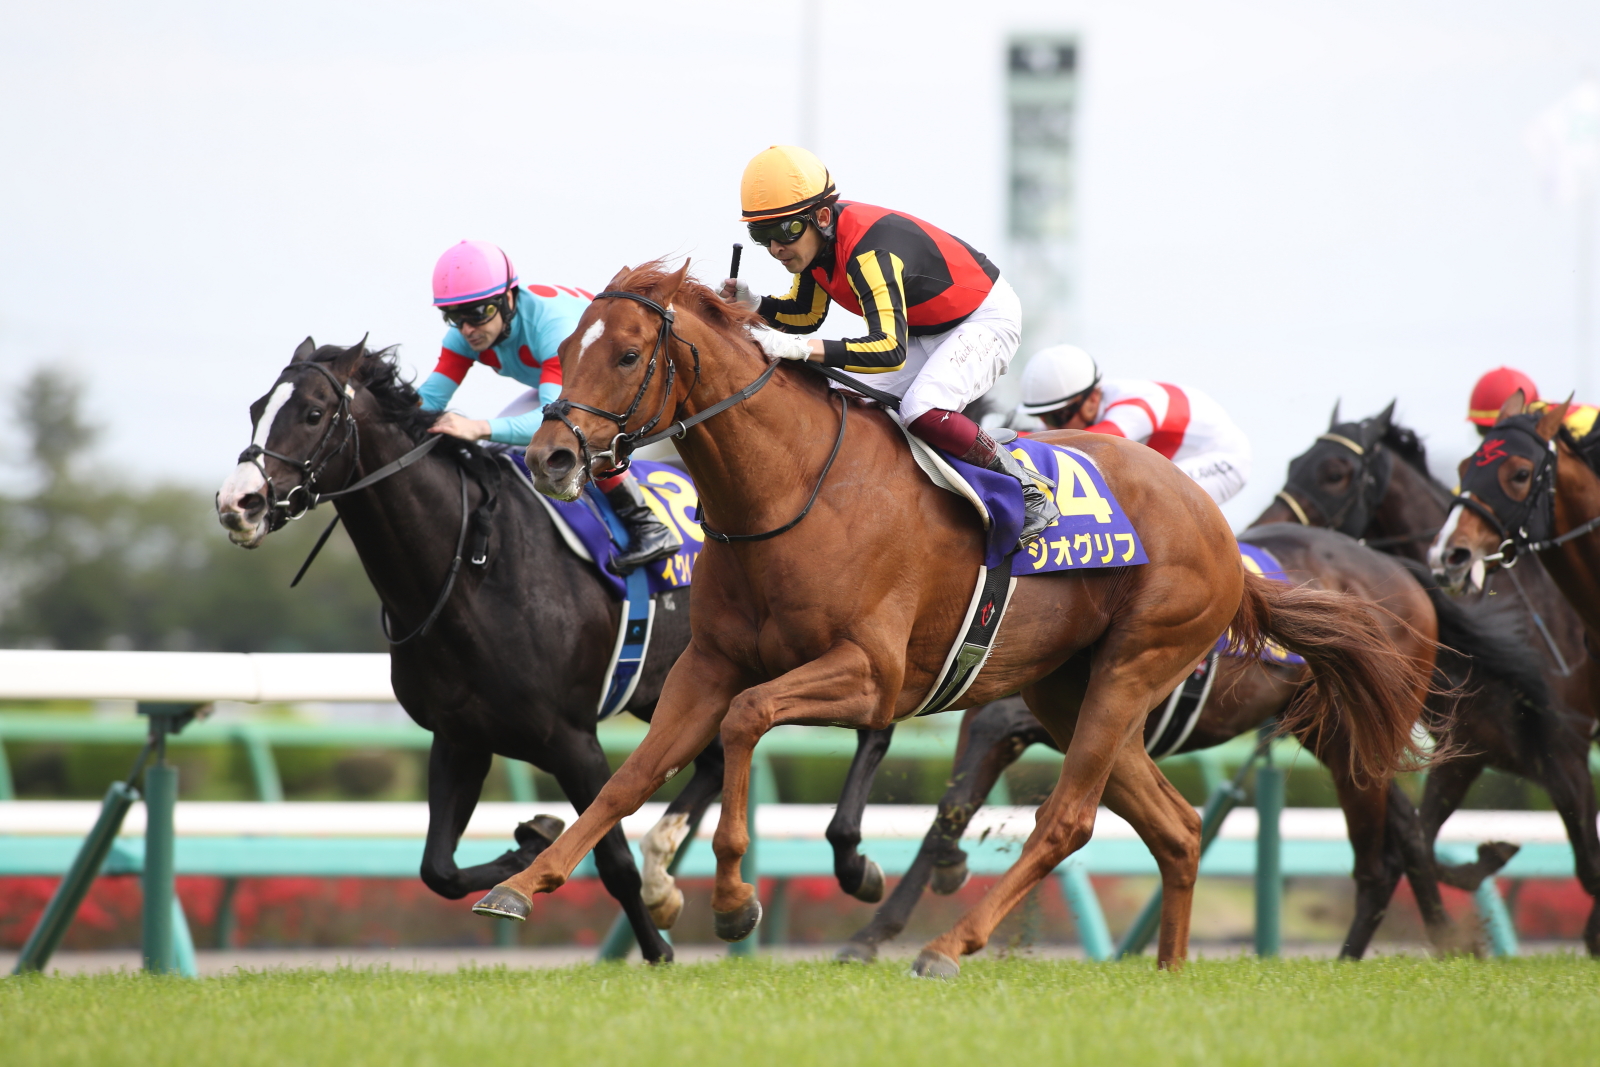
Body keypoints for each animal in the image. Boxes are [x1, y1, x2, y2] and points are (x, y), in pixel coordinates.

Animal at [213, 338, 726, 963]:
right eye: (256, 409)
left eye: (313, 413)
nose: (238, 503)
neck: (473, 573)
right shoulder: (461, 736)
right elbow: (439, 870)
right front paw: (529, 844)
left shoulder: (573, 740)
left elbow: (613, 860)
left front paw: (657, 951)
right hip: (670, 689)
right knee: (715, 759)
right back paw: (665, 878)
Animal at [475, 260, 1427, 976]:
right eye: (569, 348)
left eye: (629, 354)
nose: (550, 457)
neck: (790, 490)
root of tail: (1223, 537)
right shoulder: (709, 663)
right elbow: (630, 779)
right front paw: (528, 880)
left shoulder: (871, 675)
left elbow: (748, 721)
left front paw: (739, 899)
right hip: (1069, 692)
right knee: (1177, 826)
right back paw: (1167, 968)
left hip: (1136, 667)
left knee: (1071, 818)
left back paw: (949, 945)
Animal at [836, 523, 1525, 962]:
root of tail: (1398, 572)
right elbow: (932, 787)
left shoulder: (999, 717)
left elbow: (946, 810)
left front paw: (872, 930)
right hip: (1333, 728)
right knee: (1401, 833)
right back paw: (1444, 942)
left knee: (1380, 853)